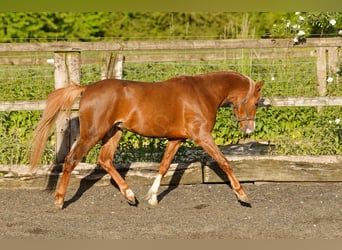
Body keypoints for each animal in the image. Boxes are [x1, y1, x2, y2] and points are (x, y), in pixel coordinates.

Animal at [30, 70, 264, 207]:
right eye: (255, 101)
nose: (249, 129)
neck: (202, 93)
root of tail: (86, 88)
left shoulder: (176, 139)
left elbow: (164, 166)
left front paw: (152, 197)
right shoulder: (202, 136)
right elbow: (224, 162)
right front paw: (242, 195)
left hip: (114, 132)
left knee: (105, 160)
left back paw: (130, 195)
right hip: (93, 133)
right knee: (71, 160)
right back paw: (60, 200)